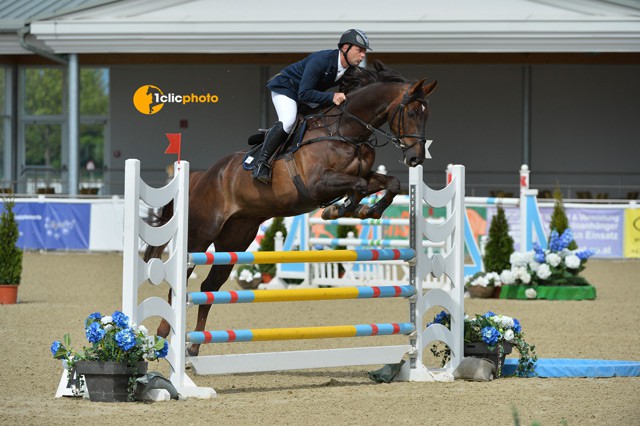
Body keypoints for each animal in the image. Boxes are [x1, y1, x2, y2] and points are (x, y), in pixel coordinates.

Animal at [144, 60, 436, 356]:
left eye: (427, 116)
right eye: (412, 112)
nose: (416, 158)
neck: (345, 132)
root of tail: (202, 176)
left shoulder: (362, 174)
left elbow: (389, 183)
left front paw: (365, 211)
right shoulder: (319, 184)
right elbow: (360, 187)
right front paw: (342, 210)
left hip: (235, 240)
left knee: (209, 287)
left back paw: (193, 346)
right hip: (201, 234)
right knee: (180, 281)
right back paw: (163, 335)